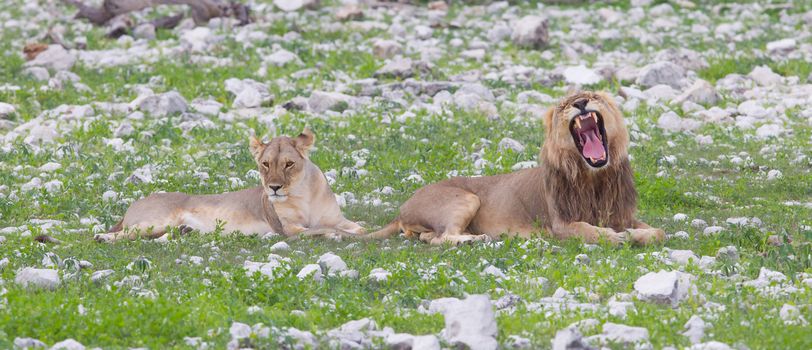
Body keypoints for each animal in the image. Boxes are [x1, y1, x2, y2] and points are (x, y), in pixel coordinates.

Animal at [93, 129, 364, 243]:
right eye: (265, 164)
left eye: (289, 164)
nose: (274, 188)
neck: (303, 194)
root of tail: (136, 202)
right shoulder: (286, 228)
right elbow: (317, 229)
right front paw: (332, 234)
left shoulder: (338, 218)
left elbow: (357, 227)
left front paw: (356, 231)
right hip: (154, 221)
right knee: (124, 233)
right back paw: (102, 237)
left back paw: (184, 231)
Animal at [368, 91, 668, 245]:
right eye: (564, 105)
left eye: (593, 96)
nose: (581, 103)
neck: (594, 179)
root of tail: (403, 208)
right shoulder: (560, 224)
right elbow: (589, 230)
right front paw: (616, 237)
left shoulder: (621, 214)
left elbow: (658, 232)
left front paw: (637, 234)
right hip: (466, 198)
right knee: (441, 239)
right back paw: (475, 240)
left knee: (430, 237)